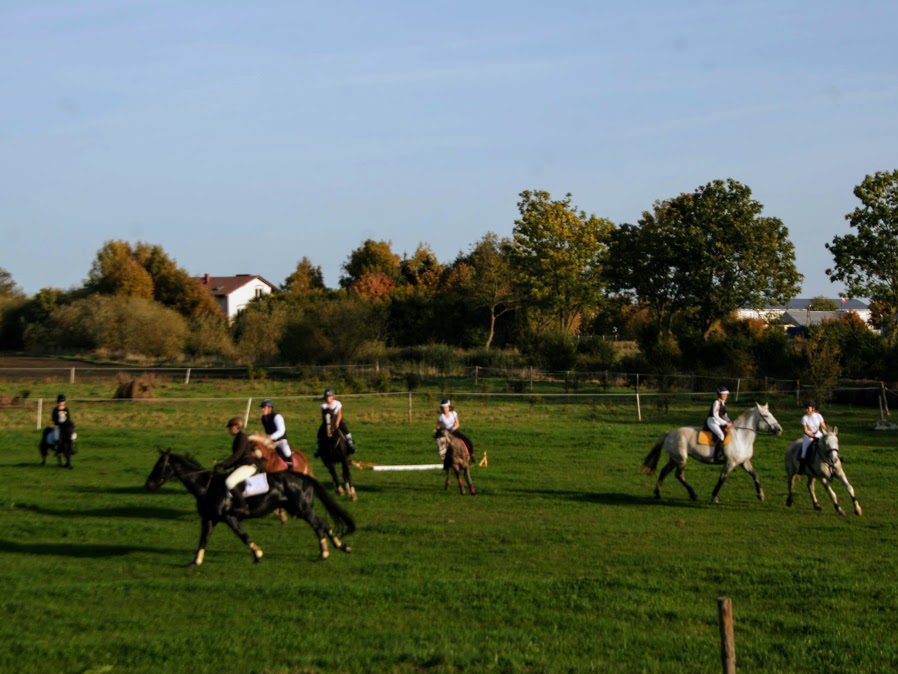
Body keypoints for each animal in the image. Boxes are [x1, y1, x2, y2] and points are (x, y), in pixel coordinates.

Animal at [145, 448, 356, 564]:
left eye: (160, 466)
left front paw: (257, 553)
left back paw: (324, 553)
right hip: (297, 509)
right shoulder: (210, 518)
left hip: (302, 509)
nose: (149, 485)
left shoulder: (229, 517)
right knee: (324, 523)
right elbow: (203, 539)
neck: (207, 486)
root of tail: (302, 476)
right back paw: (342, 546)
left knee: (318, 525)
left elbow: (242, 535)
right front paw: (195, 563)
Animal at [640, 402, 780, 502]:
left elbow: (755, 475)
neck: (741, 436)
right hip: (681, 459)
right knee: (679, 475)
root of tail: (670, 433)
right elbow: (722, 478)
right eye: (766, 416)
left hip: (674, 459)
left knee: (664, 472)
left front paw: (761, 495)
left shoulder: (744, 462)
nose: (779, 429)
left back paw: (658, 493)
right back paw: (693, 494)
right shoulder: (730, 463)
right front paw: (714, 497)